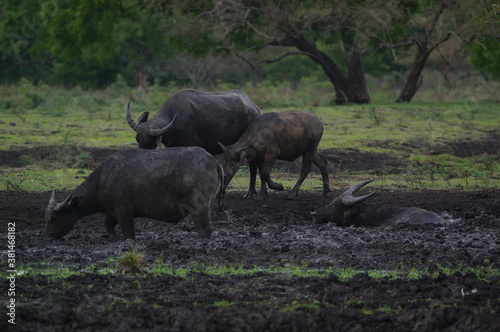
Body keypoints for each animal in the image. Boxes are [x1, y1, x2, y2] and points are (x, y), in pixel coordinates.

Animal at [44, 147, 224, 240]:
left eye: (53, 218)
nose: (48, 236)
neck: (102, 180)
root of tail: (213, 160)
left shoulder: (124, 212)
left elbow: (128, 233)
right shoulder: (112, 213)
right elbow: (108, 225)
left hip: (199, 208)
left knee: (205, 229)